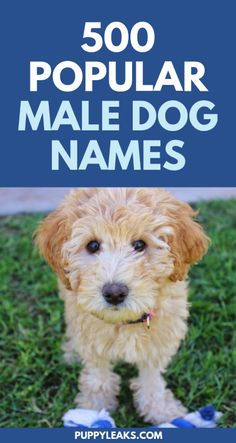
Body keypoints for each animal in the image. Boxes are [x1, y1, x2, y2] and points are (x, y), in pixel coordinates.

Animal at [35, 187, 208, 424]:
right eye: (93, 245)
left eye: (140, 245)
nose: (114, 293)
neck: (124, 321)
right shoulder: (91, 338)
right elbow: (98, 375)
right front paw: (94, 408)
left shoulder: (159, 340)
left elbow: (152, 379)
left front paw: (161, 410)